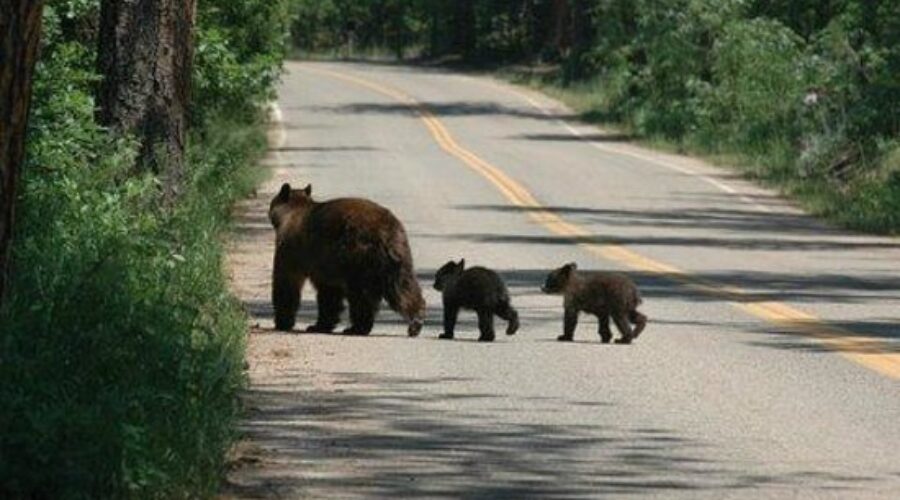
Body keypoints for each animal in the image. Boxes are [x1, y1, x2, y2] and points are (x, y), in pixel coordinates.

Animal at [269, 183, 425, 337]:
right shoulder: (325, 262)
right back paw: (416, 321)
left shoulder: (292, 249)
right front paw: (321, 325)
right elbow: (329, 292)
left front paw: (284, 322)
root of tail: (385, 230)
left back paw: (356, 328)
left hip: (357, 256)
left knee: (361, 295)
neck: (290, 214)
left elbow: (286, 282)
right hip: (398, 256)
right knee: (403, 287)